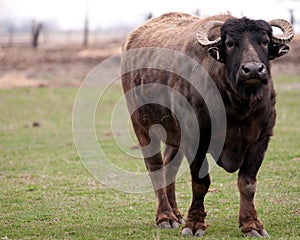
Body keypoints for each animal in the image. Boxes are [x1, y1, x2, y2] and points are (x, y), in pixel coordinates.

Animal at [120, 13, 292, 238]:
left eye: (264, 41)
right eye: (230, 43)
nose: (253, 69)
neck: (238, 106)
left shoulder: (261, 140)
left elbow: (247, 183)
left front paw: (252, 225)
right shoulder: (196, 138)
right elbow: (200, 183)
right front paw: (194, 224)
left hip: (174, 136)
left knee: (170, 167)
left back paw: (176, 214)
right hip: (142, 126)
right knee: (155, 167)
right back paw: (165, 217)